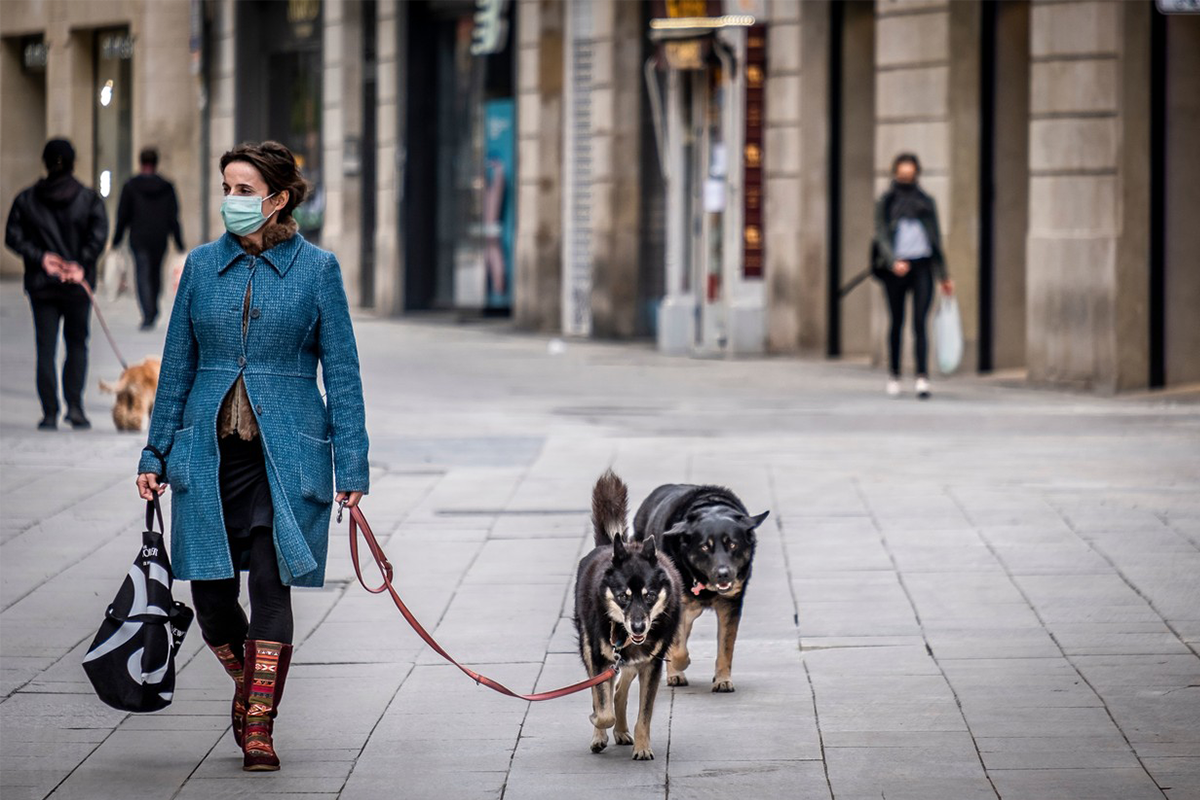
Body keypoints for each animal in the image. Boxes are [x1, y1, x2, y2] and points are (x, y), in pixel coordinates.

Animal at [573, 472, 681, 762]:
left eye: (650, 595)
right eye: (623, 596)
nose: (639, 626)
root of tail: (607, 546)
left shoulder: (651, 665)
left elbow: (644, 713)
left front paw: (642, 747)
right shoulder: (600, 660)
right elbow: (602, 709)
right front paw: (597, 726)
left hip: (632, 662)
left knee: (620, 691)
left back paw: (622, 732)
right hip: (593, 652)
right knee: (604, 692)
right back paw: (603, 734)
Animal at [638, 482, 768, 695]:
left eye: (733, 544)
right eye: (705, 547)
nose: (723, 574)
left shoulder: (730, 605)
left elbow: (725, 647)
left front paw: (723, 679)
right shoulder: (678, 604)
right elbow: (677, 647)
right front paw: (679, 664)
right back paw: (675, 674)